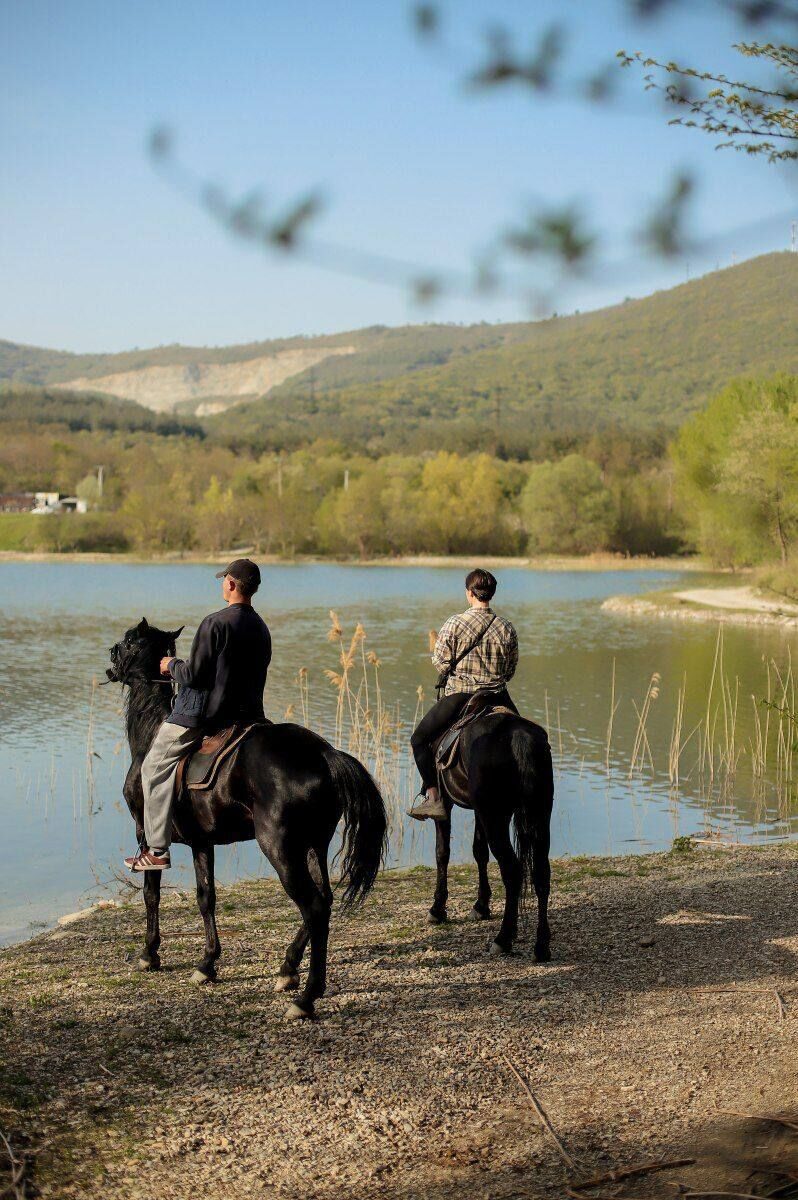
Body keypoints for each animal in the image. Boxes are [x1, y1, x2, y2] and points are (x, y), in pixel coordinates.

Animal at [106, 619, 388, 1022]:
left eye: (130, 640)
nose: (111, 656)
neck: (151, 735)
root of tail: (325, 753)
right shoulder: (202, 842)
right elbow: (206, 897)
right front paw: (207, 964)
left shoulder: (146, 833)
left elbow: (151, 893)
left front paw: (149, 954)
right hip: (313, 844)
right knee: (325, 900)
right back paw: (288, 968)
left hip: (280, 848)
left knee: (315, 907)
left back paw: (305, 997)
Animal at [427, 710, 552, 955]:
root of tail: (518, 736)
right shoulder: (479, 811)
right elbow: (479, 852)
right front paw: (481, 906)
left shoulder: (446, 804)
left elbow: (442, 852)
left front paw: (437, 909)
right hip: (538, 817)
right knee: (541, 872)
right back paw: (541, 946)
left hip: (495, 816)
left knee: (512, 871)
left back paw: (503, 938)